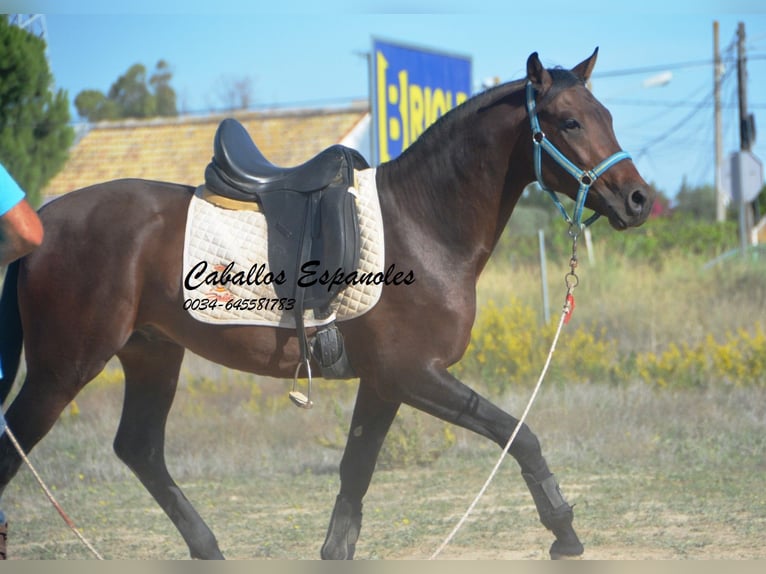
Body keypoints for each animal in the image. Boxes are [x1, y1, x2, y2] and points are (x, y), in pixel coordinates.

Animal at [0, 51, 656, 560]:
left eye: (607, 117)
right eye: (569, 122)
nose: (638, 199)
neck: (423, 224)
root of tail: (44, 221)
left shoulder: (386, 383)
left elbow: (354, 474)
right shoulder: (415, 375)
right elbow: (519, 435)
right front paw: (563, 531)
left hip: (152, 355)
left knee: (139, 449)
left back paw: (208, 548)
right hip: (64, 369)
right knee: (20, 444)